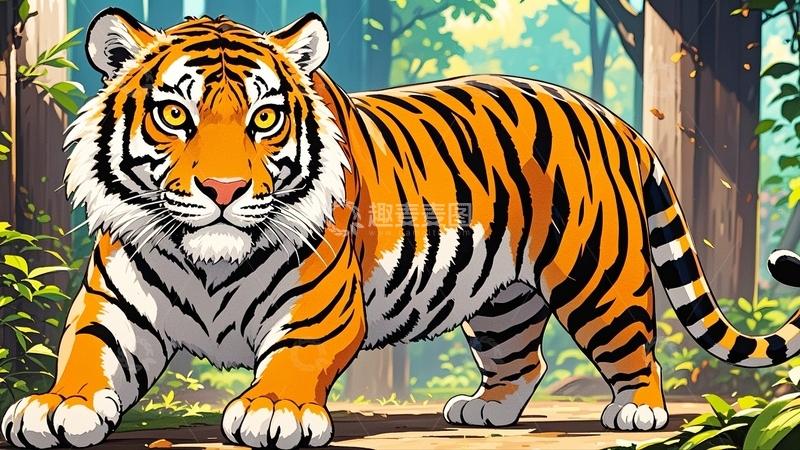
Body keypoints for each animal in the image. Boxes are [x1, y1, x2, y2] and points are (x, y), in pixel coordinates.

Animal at [3, 7, 800, 449]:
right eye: (175, 114)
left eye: (265, 119)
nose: (225, 190)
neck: (207, 259)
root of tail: (613, 117)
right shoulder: (115, 302)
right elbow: (85, 354)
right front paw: (56, 409)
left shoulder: (320, 305)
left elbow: (292, 359)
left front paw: (272, 412)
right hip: (501, 301)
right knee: (523, 360)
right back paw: (484, 410)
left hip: (597, 277)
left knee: (636, 347)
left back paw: (634, 412)